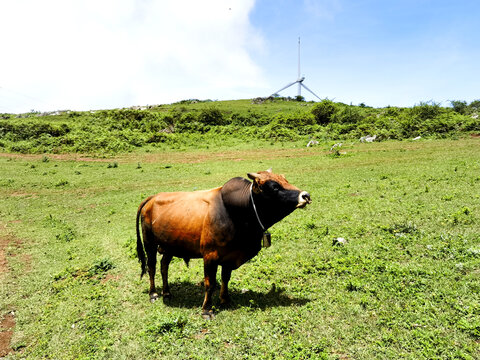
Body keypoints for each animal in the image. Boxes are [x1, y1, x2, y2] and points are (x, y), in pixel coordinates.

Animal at [137, 169, 314, 318]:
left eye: (285, 180)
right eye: (274, 187)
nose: (306, 195)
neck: (236, 211)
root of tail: (152, 198)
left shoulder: (230, 256)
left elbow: (225, 278)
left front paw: (225, 300)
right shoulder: (210, 256)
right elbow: (210, 283)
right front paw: (207, 310)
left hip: (169, 246)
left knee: (164, 266)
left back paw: (167, 293)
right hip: (149, 243)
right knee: (152, 266)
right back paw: (154, 294)